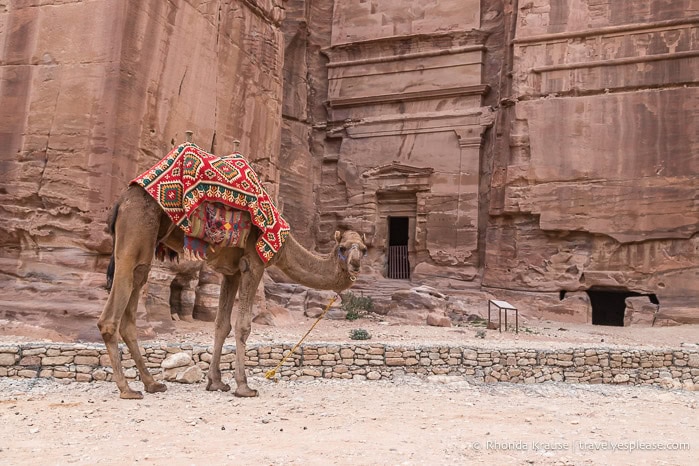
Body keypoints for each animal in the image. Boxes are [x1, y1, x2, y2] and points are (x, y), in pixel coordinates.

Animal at [100, 184, 372, 398]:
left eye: (364, 249)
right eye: (343, 248)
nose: (355, 265)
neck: (283, 245)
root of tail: (121, 202)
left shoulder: (231, 272)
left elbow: (222, 325)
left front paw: (216, 382)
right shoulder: (254, 262)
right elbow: (242, 326)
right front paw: (244, 387)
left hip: (145, 246)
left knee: (132, 303)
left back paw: (152, 384)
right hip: (135, 230)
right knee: (110, 317)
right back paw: (127, 389)